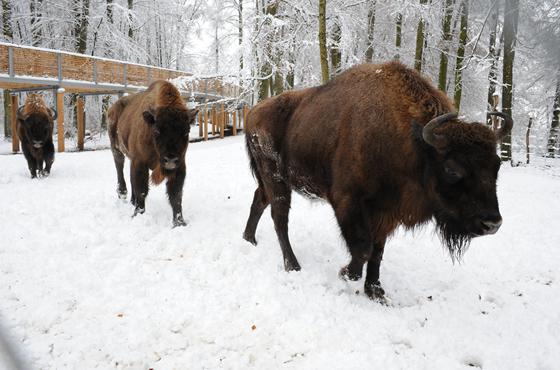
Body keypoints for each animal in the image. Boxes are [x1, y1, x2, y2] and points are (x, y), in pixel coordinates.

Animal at [108, 80, 198, 227]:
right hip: (116, 148)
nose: (170, 160)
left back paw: (132, 201)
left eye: (186, 131)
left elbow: (176, 195)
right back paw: (123, 194)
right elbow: (142, 191)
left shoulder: (180, 166)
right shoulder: (140, 163)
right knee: (119, 166)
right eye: (156, 131)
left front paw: (179, 223)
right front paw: (137, 215)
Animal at [243, 60, 516, 302]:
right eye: (452, 169)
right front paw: (345, 274)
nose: (491, 223)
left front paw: (375, 292)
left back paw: (249, 239)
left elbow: (377, 250)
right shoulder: (348, 202)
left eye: (496, 166)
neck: (414, 143)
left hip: (272, 179)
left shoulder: (386, 211)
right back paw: (292, 265)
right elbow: (363, 248)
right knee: (279, 217)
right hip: (276, 178)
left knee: (260, 200)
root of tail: (252, 113)